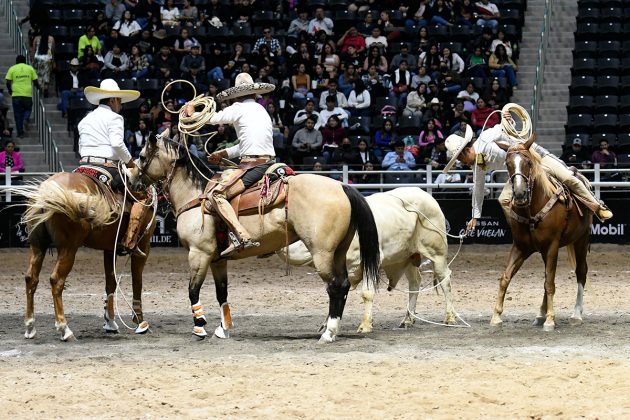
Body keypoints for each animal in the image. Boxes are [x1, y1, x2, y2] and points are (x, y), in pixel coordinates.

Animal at [19, 171, 157, 342]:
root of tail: (46, 192)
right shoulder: (144, 245)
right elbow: (137, 281)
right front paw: (140, 321)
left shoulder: (109, 249)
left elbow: (110, 283)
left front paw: (110, 322)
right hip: (68, 248)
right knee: (56, 281)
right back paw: (65, 329)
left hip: (38, 246)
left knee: (31, 278)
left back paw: (30, 327)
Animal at [133, 133, 380, 342]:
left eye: (143, 156)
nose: (134, 182)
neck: (197, 197)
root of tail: (342, 187)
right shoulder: (217, 260)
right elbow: (221, 293)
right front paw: (223, 329)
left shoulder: (198, 254)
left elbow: (193, 290)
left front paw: (199, 326)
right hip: (338, 251)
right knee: (344, 284)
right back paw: (331, 328)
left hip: (322, 253)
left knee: (335, 286)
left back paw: (328, 333)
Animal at [278, 187, 456, 332]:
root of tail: (425, 195)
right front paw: (327, 323)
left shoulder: (370, 261)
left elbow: (366, 293)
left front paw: (365, 325)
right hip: (407, 256)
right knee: (414, 283)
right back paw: (407, 319)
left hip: (437, 252)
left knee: (445, 280)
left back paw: (450, 317)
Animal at [496, 136, 596, 330]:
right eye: (508, 163)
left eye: (528, 162)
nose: (520, 194)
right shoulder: (521, 247)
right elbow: (506, 277)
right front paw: (496, 316)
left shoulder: (552, 246)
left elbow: (550, 282)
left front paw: (550, 320)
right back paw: (540, 315)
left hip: (581, 239)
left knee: (581, 271)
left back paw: (576, 314)